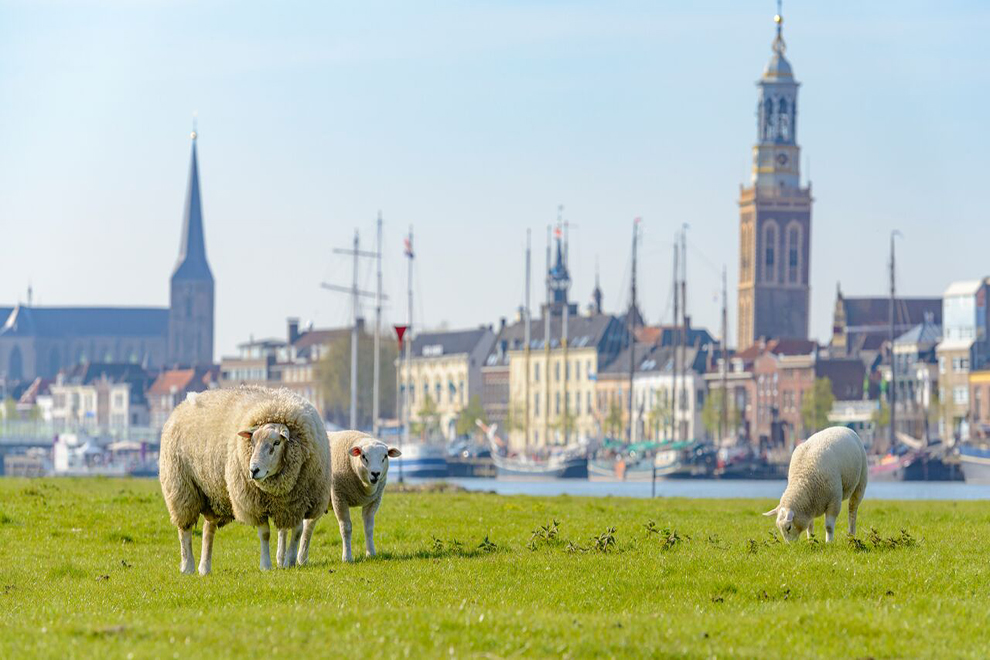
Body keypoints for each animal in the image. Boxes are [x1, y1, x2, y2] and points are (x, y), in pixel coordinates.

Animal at [161, 386, 332, 572]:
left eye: (277, 442)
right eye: (253, 442)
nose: (253, 470)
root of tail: (182, 405)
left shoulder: (298, 503)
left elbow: (298, 532)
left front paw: (290, 562)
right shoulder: (255, 504)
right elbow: (265, 534)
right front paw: (266, 565)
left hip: (212, 493)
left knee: (208, 530)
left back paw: (204, 568)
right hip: (182, 488)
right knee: (184, 530)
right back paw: (187, 566)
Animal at [328, 434, 402, 564]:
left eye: (385, 456)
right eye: (363, 456)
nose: (375, 473)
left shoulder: (373, 500)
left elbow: (369, 527)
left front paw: (371, 554)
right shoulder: (339, 498)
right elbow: (346, 528)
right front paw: (347, 558)